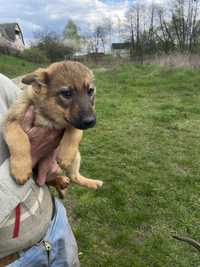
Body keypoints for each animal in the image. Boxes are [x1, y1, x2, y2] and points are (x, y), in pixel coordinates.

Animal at [3, 61, 103, 195]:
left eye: (90, 91)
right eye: (66, 93)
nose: (90, 121)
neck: (49, 115)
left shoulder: (75, 123)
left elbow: (74, 130)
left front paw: (65, 154)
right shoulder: (11, 121)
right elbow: (20, 140)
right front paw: (21, 169)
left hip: (76, 156)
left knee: (73, 176)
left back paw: (92, 183)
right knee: (51, 180)